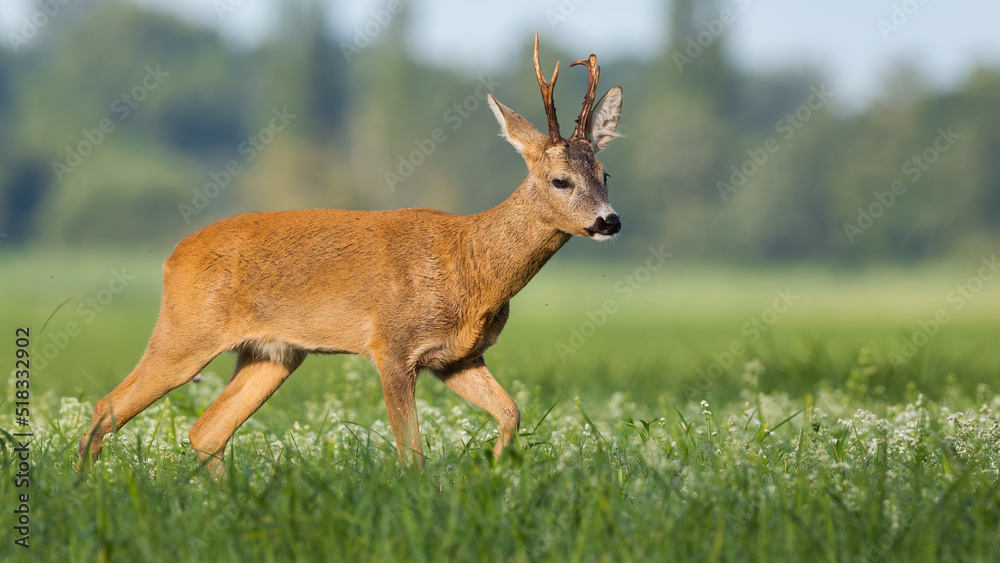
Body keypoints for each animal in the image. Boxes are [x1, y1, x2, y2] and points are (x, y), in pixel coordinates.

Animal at [77, 33, 623, 479]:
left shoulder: (458, 356)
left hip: (273, 353)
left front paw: (494, 476)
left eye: (605, 175)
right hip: (186, 330)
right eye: (561, 180)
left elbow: (510, 412)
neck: (470, 266)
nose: (609, 221)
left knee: (206, 430)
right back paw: (84, 488)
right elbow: (412, 453)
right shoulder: (392, 346)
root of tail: (173, 256)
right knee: (107, 407)